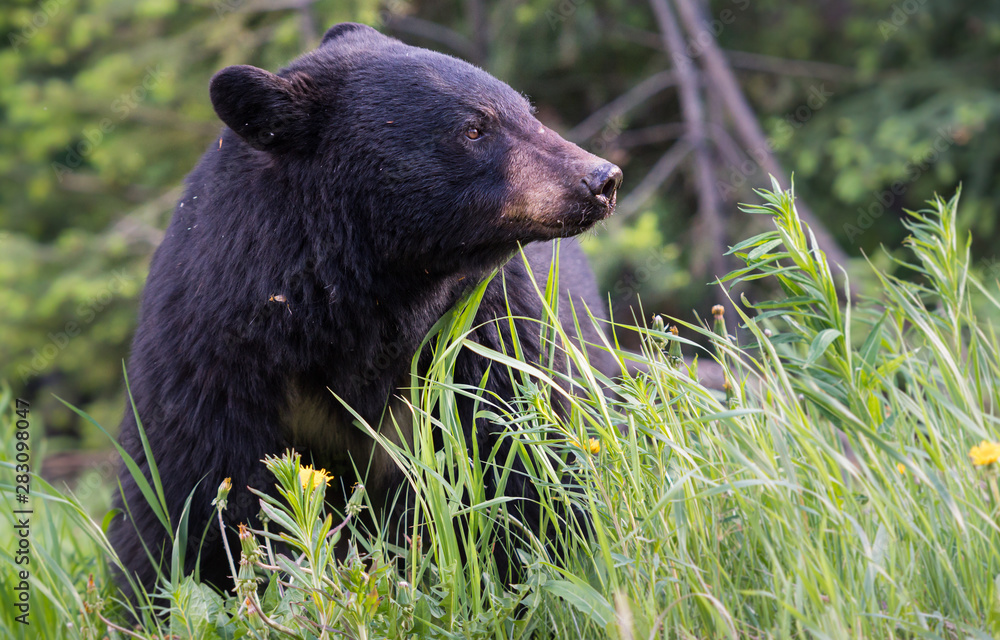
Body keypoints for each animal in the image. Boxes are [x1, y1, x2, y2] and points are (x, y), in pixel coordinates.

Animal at [110, 21, 622, 600]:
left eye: (525, 109)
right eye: (474, 128)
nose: (602, 178)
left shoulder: (490, 333)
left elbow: (523, 463)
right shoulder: (211, 362)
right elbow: (182, 499)